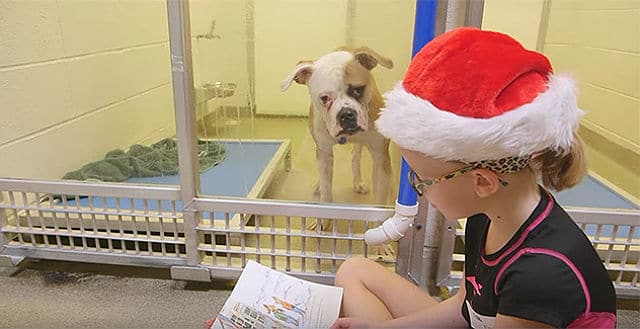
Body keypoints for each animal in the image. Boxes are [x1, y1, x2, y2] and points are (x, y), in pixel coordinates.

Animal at [282, 46, 392, 231]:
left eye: (358, 90)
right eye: (325, 98)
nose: (346, 114)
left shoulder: (380, 158)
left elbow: (379, 203)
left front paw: (380, 235)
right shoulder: (324, 152)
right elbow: (327, 191)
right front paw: (324, 220)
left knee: (355, 156)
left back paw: (357, 182)